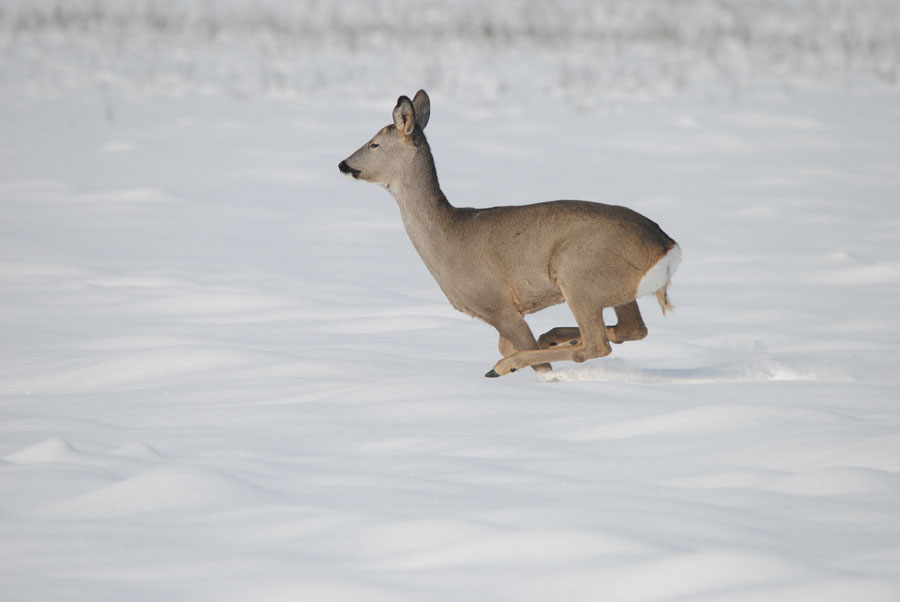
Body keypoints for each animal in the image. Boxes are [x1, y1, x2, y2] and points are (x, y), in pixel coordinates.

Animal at [342, 88, 680, 380]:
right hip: (614, 290)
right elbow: (508, 345)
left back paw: (506, 365)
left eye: (374, 143)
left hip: (579, 276)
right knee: (631, 329)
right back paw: (551, 338)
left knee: (596, 344)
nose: (343, 164)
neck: (446, 235)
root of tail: (668, 248)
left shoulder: (498, 304)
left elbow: (536, 363)